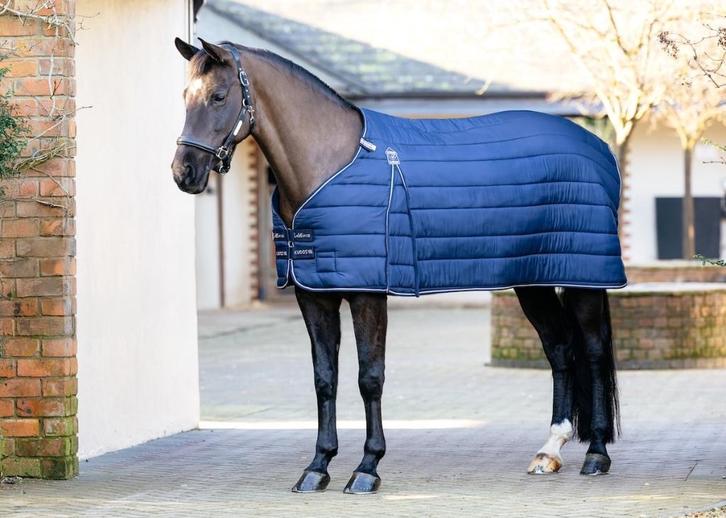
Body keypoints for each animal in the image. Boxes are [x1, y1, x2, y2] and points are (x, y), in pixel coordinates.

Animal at [171, 38, 622, 494]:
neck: (329, 166)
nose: (183, 172)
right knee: (560, 349)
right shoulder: (314, 295)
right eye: (184, 96)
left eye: (219, 96)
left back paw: (596, 454)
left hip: (584, 281)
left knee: (594, 350)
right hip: (535, 280)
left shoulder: (368, 295)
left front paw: (367, 468)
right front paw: (318, 466)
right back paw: (549, 451)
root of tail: (599, 148)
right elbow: (324, 379)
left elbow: (369, 378)